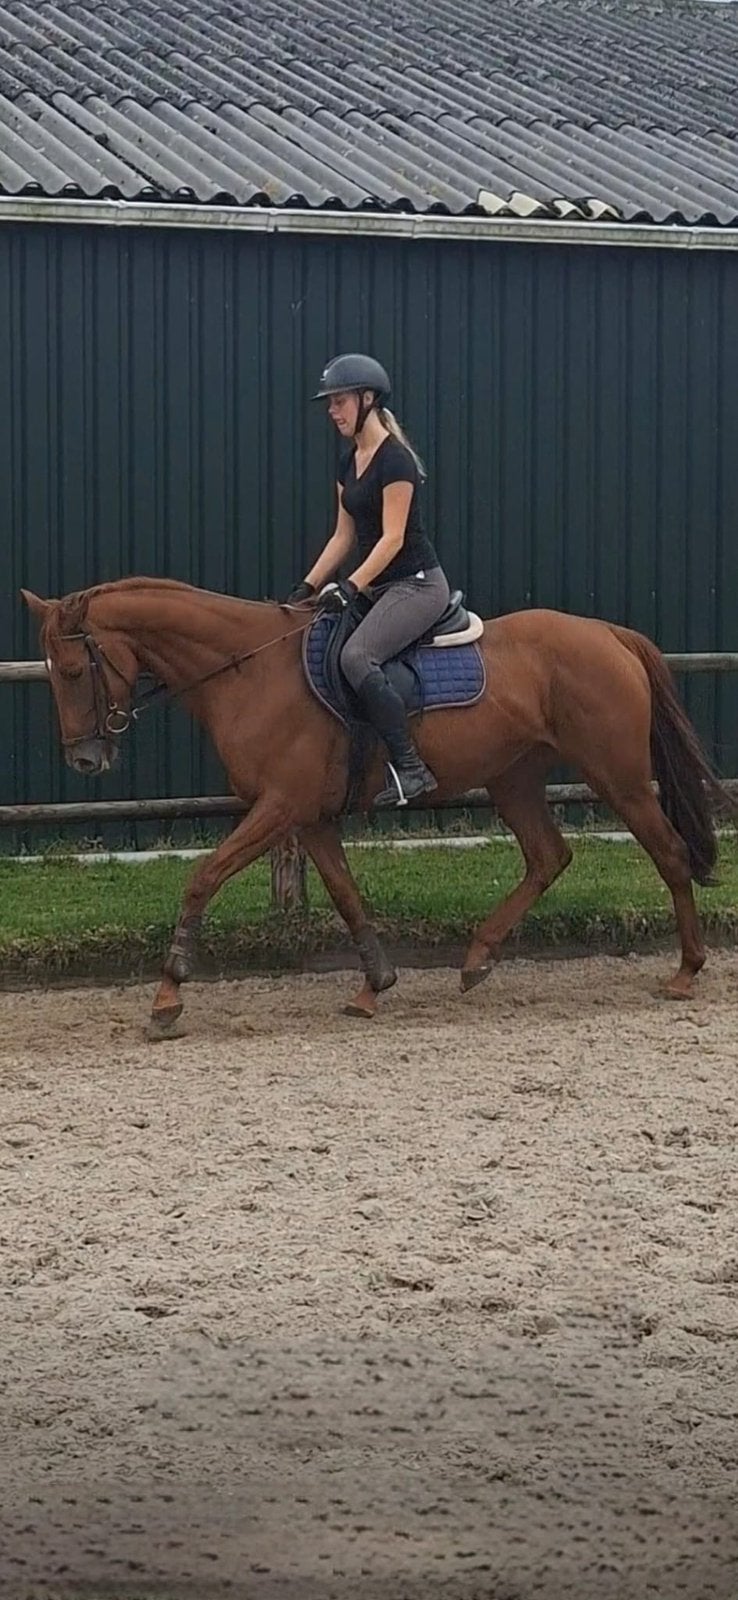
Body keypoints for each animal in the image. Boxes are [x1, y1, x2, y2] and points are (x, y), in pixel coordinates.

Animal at [21, 577, 728, 1036]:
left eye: (74, 671)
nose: (85, 761)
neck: (249, 671)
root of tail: (609, 633)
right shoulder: (309, 818)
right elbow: (346, 894)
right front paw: (374, 986)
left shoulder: (279, 808)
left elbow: (203, 878)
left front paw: (168, 995)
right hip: (515, 778)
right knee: (548, 857)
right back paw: (477, 959)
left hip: (618, 777)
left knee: (667, 854)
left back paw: (685, 972)